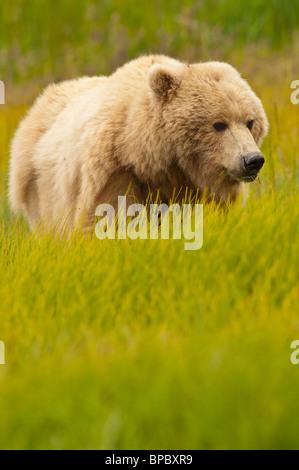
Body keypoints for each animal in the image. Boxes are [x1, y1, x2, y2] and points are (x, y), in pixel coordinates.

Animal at [8, 54, 270, 233]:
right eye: (219, 124)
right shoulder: (115, 172)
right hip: (42, 190)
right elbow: (108, 219)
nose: (252, 160)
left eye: (250, 122)